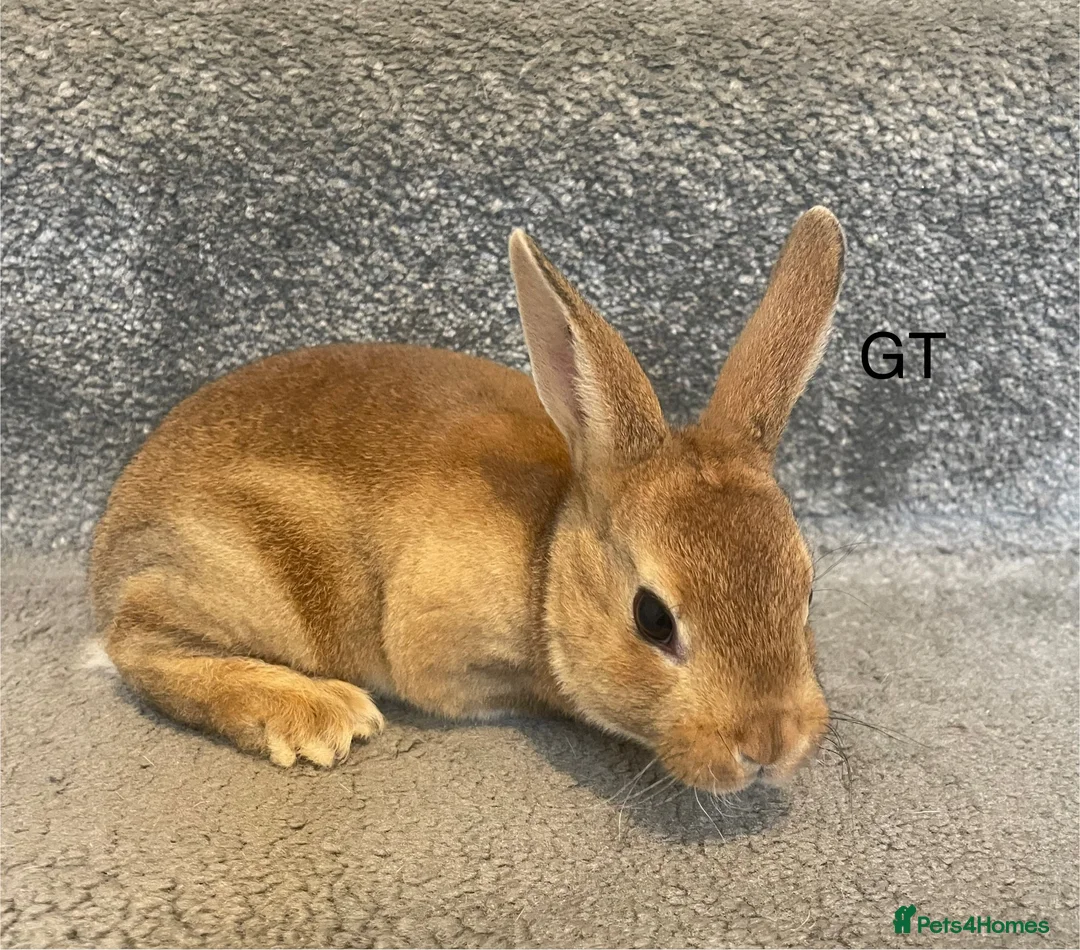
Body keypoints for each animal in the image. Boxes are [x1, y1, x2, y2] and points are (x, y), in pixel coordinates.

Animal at [90, 206, 845, 793]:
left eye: (806, 594)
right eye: (652, 619)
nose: (770, 745)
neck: (546, 559)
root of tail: (111, 547)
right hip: (244, 575)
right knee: (141, 651)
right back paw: (320, 717)